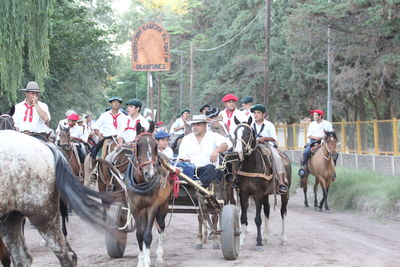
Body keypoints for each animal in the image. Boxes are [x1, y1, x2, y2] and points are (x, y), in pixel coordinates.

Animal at [124, 123, 173, 267]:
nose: (150, 174)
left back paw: (159, 257)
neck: (141, 183)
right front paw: (141, 261)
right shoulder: (135, 208)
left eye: (155, 145)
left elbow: (147, 235)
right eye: (137, 145)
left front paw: (147, 261)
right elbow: (140, 235)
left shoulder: (152, 207)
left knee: (161, 227)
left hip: (163, 206)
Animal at [231, 117, 290, 251]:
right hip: (266, 194)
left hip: (285, 193)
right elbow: (243, 217)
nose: (237, 151)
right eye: (235, 133)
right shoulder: (244, 193)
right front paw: (241, 242)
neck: (251, 165)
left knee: (283, 212)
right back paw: (266, 237)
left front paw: (258, 243)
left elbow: (258, 219)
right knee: (267, 210)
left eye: (248, 133)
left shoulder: (257, 194)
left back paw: (284, 239)